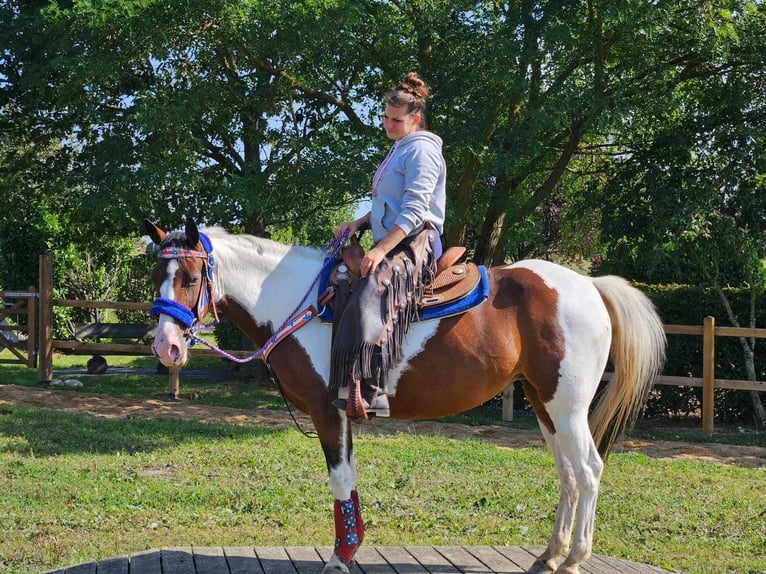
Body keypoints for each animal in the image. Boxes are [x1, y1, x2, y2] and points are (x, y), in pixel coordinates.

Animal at [144, 220, 664, 574]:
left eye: (190, 278)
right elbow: (349, 479)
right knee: (569, 474)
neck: (304, 303)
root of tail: (590, 285)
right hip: (543, 403)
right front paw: (350, 547)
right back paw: (551, 554)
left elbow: (339, 478)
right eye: (155, 277)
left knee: (589, 470)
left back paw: (575, 557)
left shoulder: (327, 409)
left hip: (567, 405)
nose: (165, 346)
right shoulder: (343, 410)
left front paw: (340, 556)